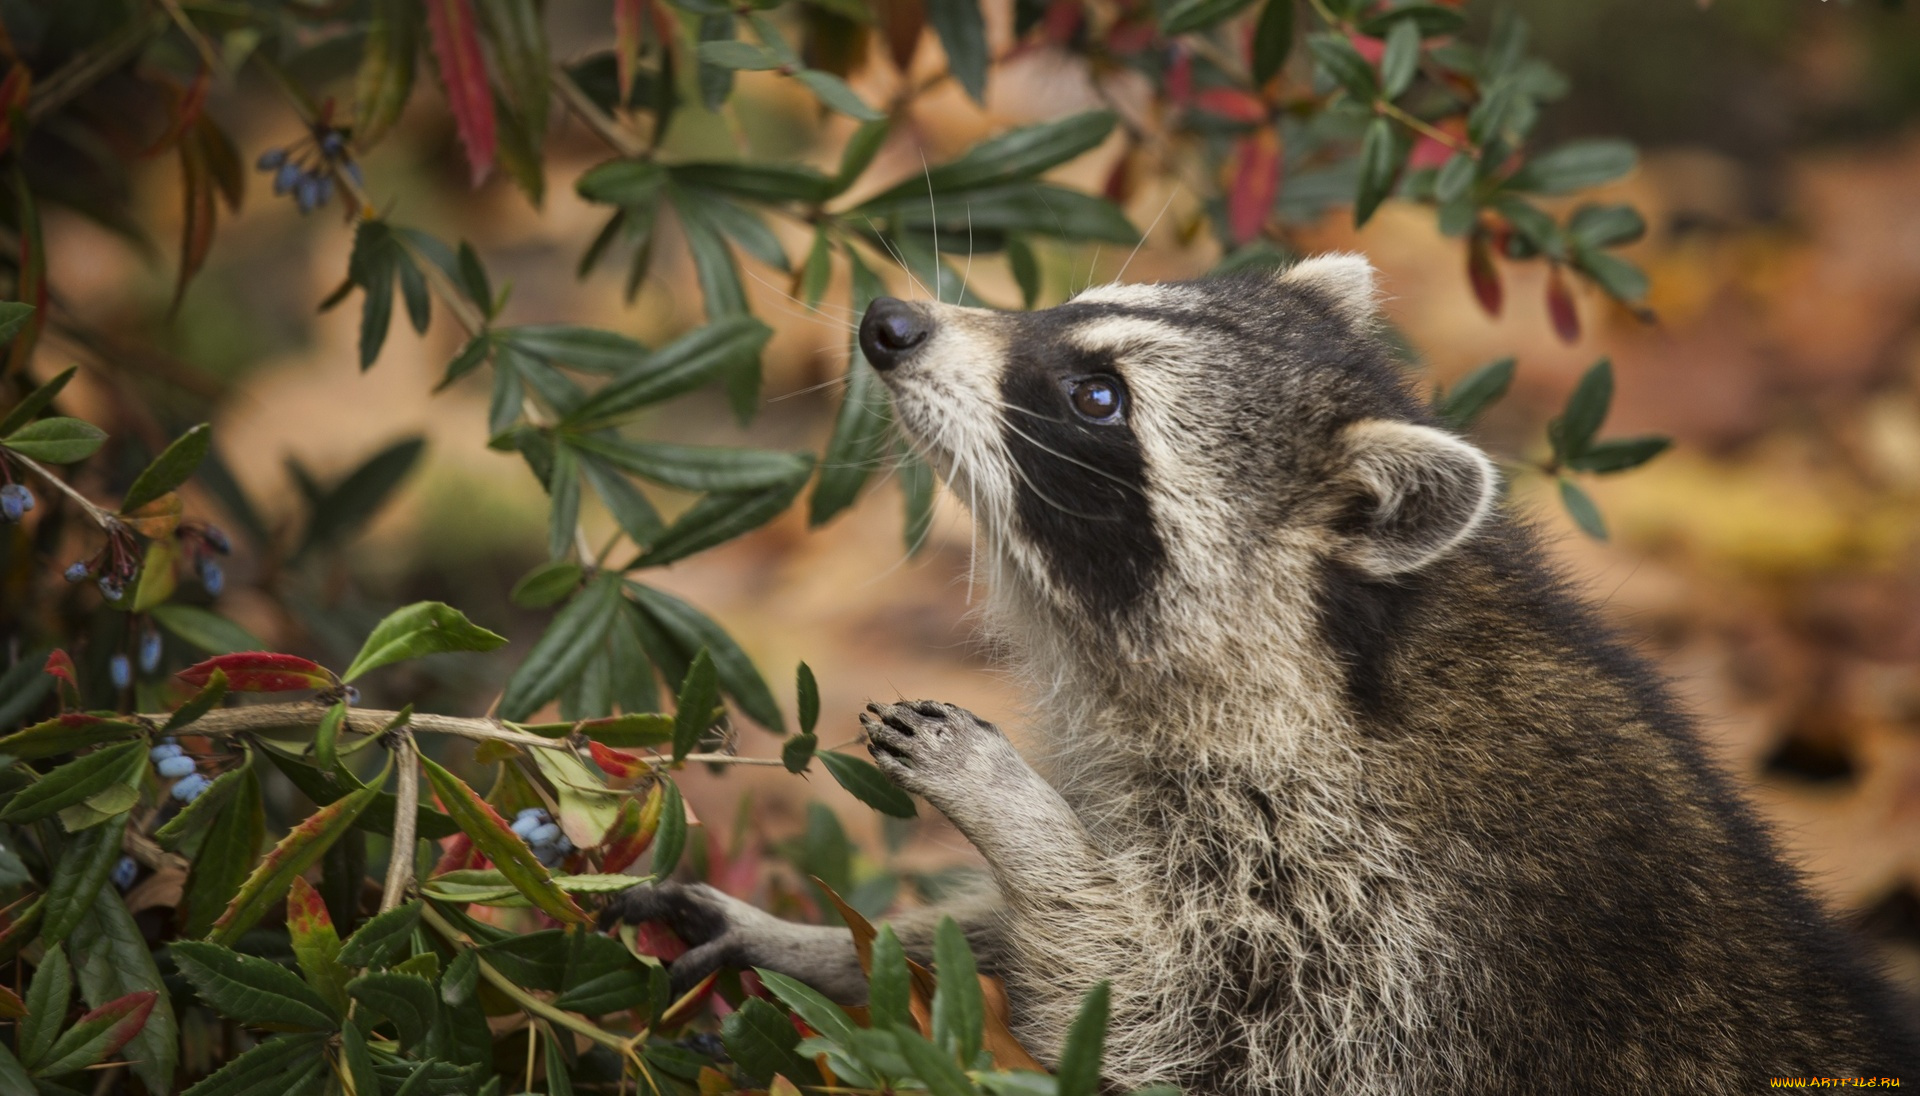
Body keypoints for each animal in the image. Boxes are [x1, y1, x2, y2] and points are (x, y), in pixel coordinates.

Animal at [618, 259, 1920, 1096]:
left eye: (1098, 396)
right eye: (1071, 311)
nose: (890, 321)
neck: (1329, 659)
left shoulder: (1389, 922)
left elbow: (1168, 1024)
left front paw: (1016, 817)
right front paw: (833, 943)